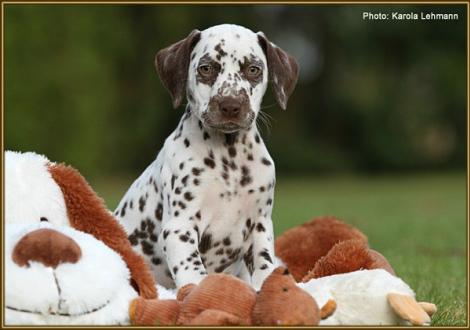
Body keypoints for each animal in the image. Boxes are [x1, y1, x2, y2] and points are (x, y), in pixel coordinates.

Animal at [114, 23, 298, 292]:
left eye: (253, 69)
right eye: (206, 68)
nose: (230, 105)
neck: (229, 159)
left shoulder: (260, 224)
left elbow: (264, 265)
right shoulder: (180, 226)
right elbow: (193, 270)